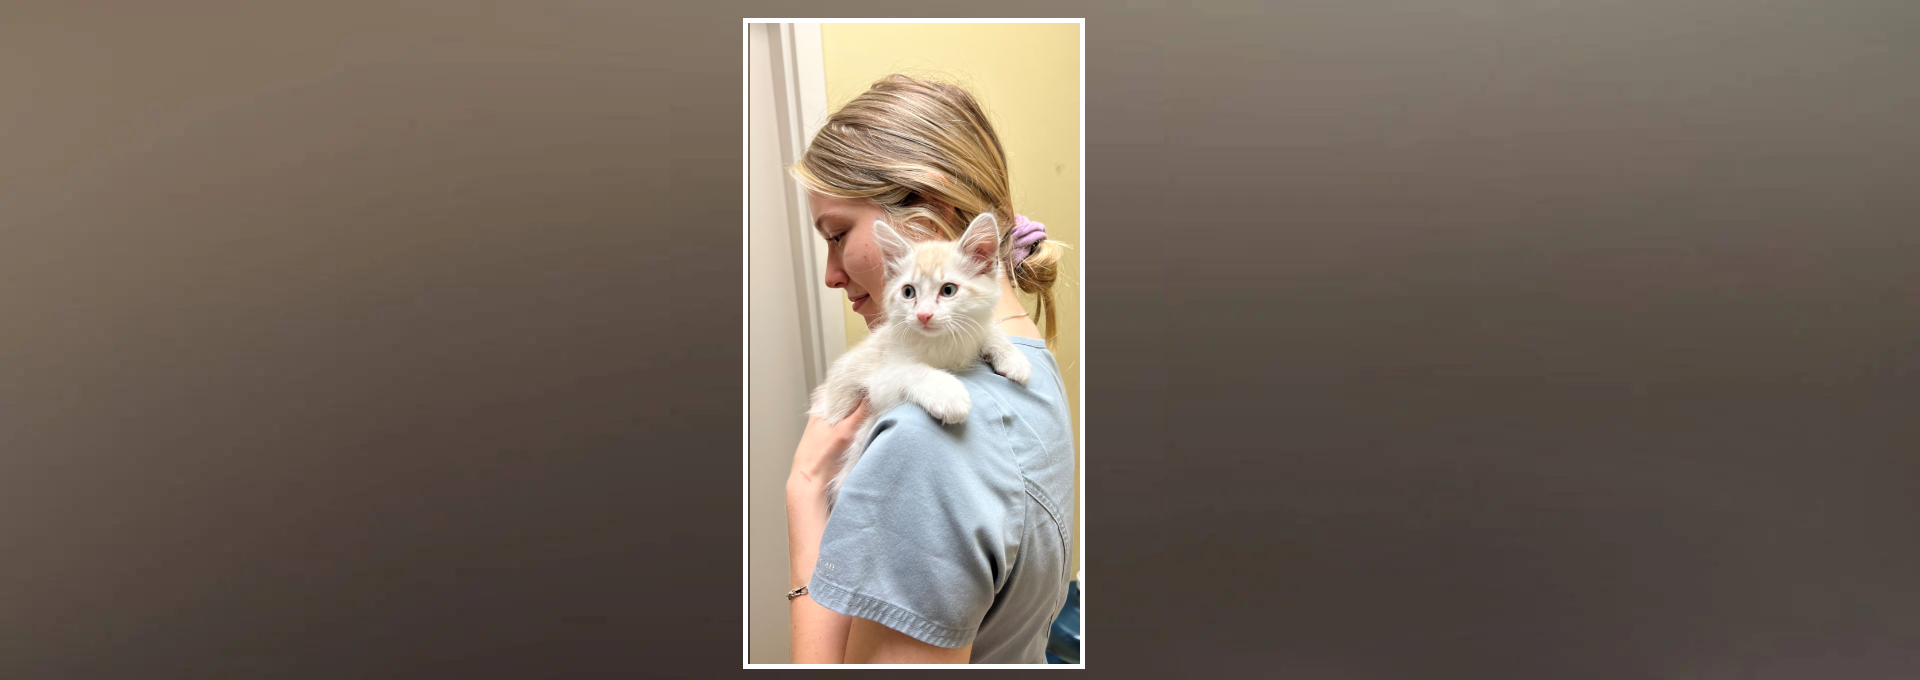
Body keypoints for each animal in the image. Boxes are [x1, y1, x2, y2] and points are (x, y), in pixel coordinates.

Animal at [810, 211, 1036, 503]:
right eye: (908, 292)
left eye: (948, 290)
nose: (923, 315)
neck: (940, 343)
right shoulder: (879, 379)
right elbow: (911, 370)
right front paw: (949, 394)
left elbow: (986, 330)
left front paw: (1013, 358)